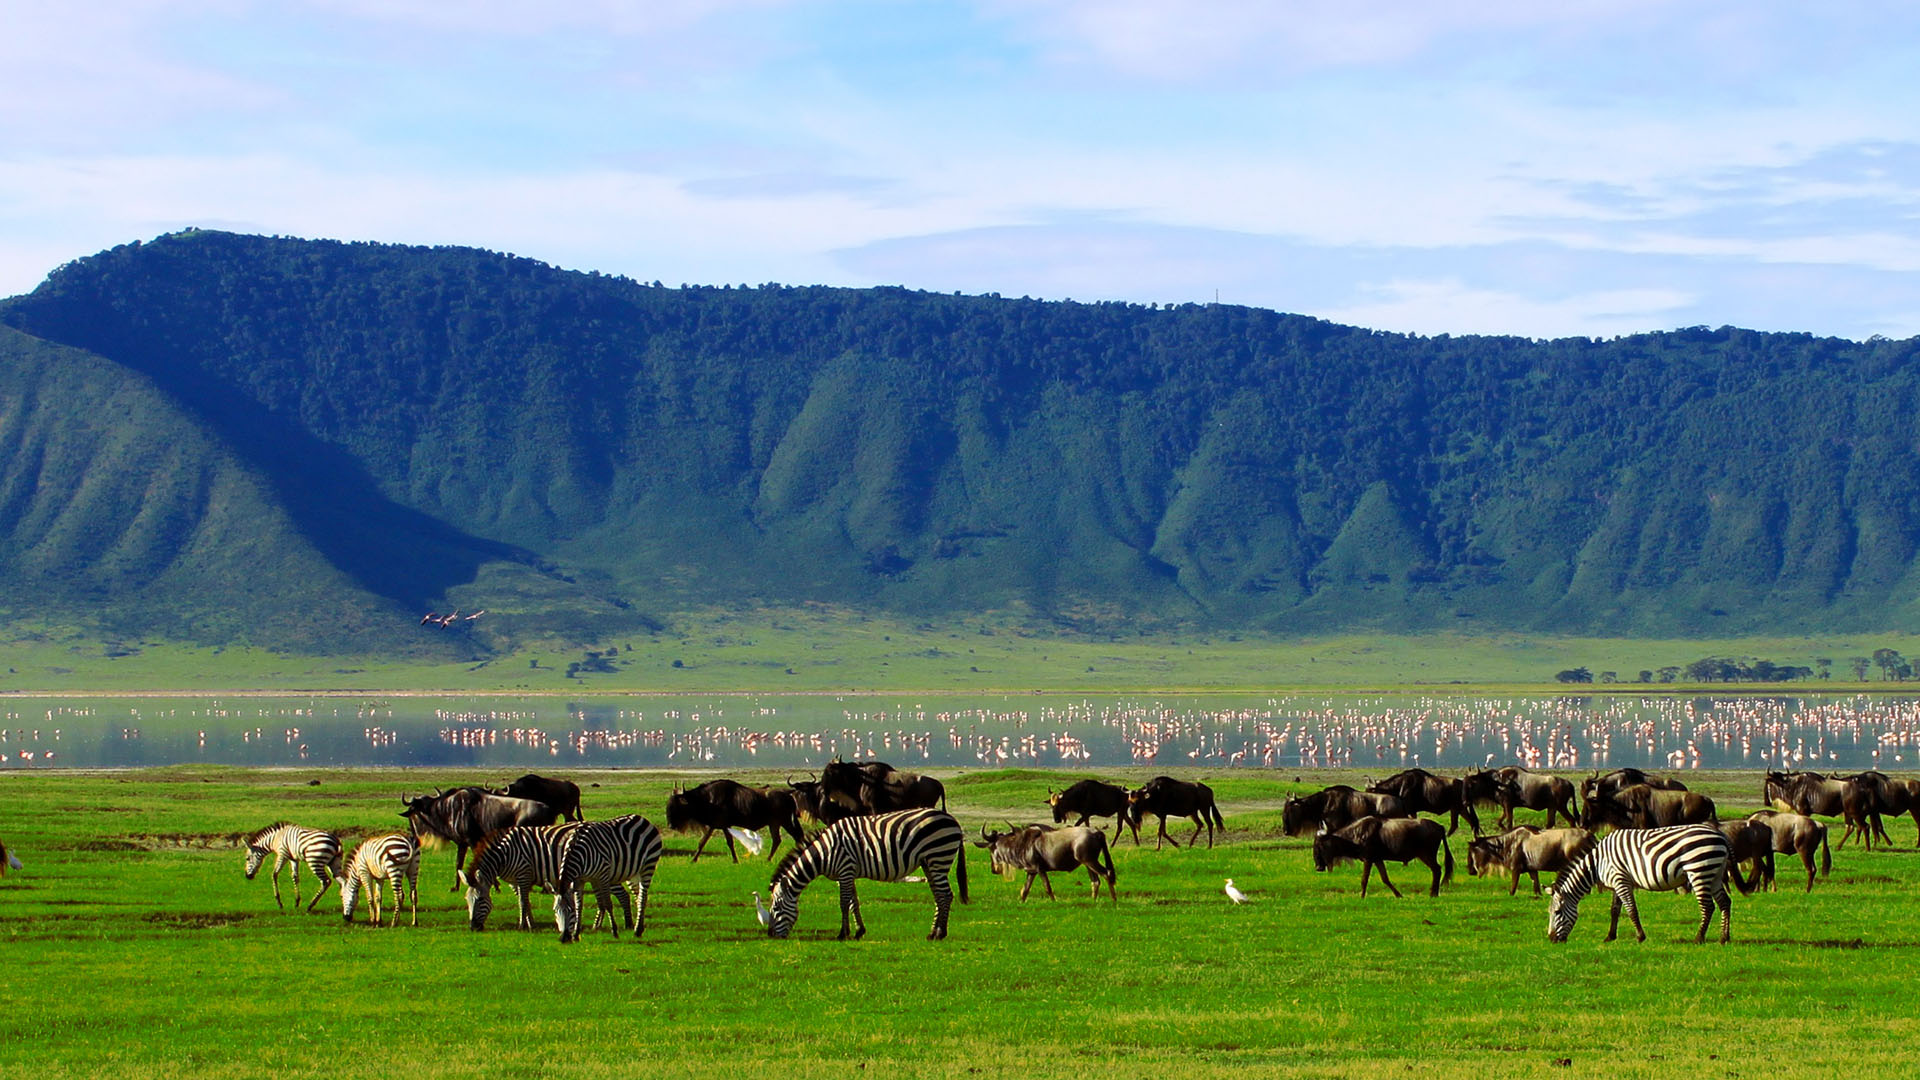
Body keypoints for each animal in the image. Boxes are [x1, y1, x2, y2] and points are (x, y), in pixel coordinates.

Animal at [764, 803, 967, 937]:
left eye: (776, 907)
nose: (770, 934)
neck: (824, 852)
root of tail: (953, 820)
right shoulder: (846, 874)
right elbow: (853, 902)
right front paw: (859, 931)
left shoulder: (845, 869)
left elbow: (844, 902)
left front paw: (843, 934)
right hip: (929, 862)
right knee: (939, 895)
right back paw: (933, 932)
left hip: (938, 857)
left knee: (945, 895)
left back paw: (939, 933)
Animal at [1543, 818, 1758, 937]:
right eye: (1550, 913)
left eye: (1557, 913)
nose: (1552, 939)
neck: (1597, 863)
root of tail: (1720, 835)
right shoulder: (1617, 881)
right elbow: (1614, 910)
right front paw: (1610, 937)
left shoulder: (1621, 880)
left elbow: (1631, 910)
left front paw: (1640, 936)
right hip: (1715, 873)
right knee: (1725, 903)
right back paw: (1724, 938)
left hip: (1699, 870)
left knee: (1708, 907)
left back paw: (1699, 938)